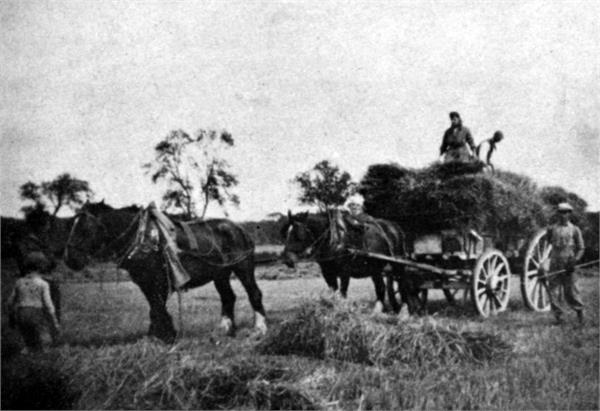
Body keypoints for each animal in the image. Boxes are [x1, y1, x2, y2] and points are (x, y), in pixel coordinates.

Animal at [63, 201, 268, 342]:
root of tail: (240, 229)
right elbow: (154, 306)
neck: (142, 238)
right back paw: (225, 330)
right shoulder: (144, 282)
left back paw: (259, 329)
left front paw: (164, 336)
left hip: (243, 268)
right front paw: (157, 335)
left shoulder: (157, 280)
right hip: (220, 274)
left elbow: (157, 306)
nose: (69, 259)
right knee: (228, 297)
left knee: (254, 293)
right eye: (72, 225)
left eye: (85, 228)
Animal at [282, 211, 412, 314]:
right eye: (286, 234)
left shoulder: (345, 272)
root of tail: (395, 226)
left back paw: (404, 310)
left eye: (298, 234)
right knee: (381, 287)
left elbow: (342, 292)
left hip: (397, 264)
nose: (286, 259)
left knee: (401, 284)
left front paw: (342, 310)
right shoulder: (327, 273)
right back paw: (379, 310)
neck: (333, 239)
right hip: (375, 268)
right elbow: (333, 291)